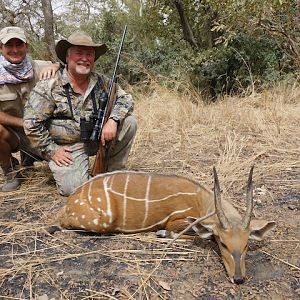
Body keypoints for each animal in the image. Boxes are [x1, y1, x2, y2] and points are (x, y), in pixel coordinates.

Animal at [55, 168, 274, 284]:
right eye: (223, 243)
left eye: (246, 245)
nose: (238, 278)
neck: (201, 200)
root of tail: (70, 202)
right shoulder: (176, 221)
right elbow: (193, 234)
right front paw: (161, 234)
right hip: (102, 221)